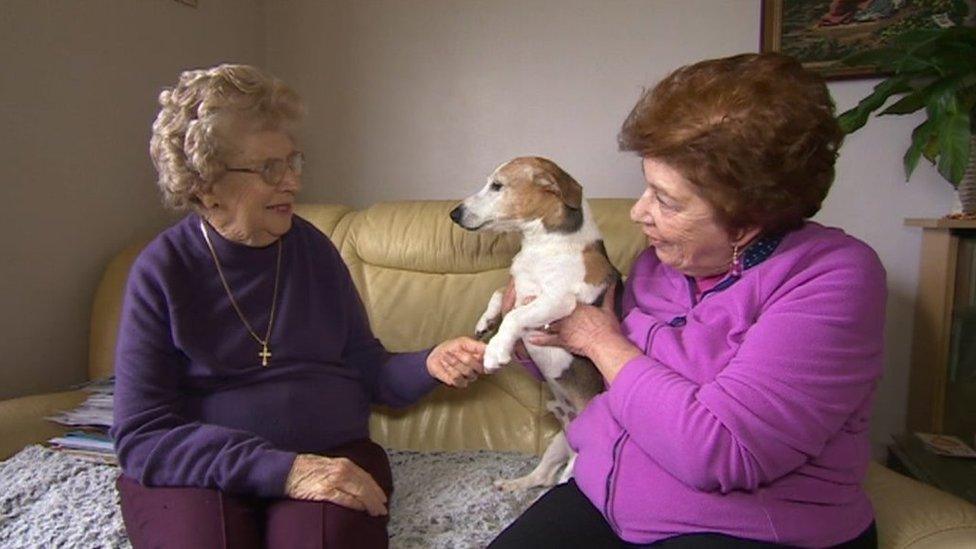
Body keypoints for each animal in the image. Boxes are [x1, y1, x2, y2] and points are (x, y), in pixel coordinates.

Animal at [448, 156, 616, 490]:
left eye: (497, 185)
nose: (454, 213)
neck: (542, 245)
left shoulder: (558, 301)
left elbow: (515, 316)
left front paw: (496, 349)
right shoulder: (518, 288)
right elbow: (500, 294)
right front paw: (486, 321)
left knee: (561, 476)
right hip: (557, 443)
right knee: (541, 477)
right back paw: (512, 484)